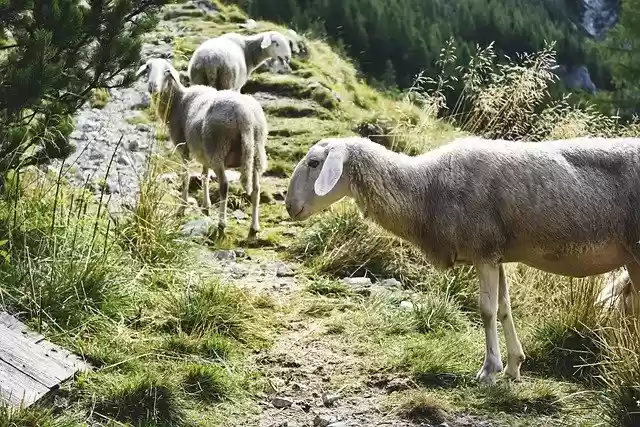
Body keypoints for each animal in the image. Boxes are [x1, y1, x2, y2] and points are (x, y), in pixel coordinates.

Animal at [135, 57, 268, 237]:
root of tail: (245, 116)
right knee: (256, 189)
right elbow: (204, 176)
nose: (152, 86)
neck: (177, 102)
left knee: (224, 186)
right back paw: (254, 226)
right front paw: (206, 205)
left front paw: (182, 207)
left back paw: (222, 223)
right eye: (148, 68)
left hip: (219, 148)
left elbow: (184, 177)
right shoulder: (204, 152)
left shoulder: (184, 147)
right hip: (255, 151)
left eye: (167, 71)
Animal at [284, 135, 640, 385]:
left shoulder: (483, 250)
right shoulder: (496, 253)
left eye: (314, 163)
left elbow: (487, 310)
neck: (425, 187)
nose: (289, 207)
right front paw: (513, 366)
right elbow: (505, 309)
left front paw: (489, 370)